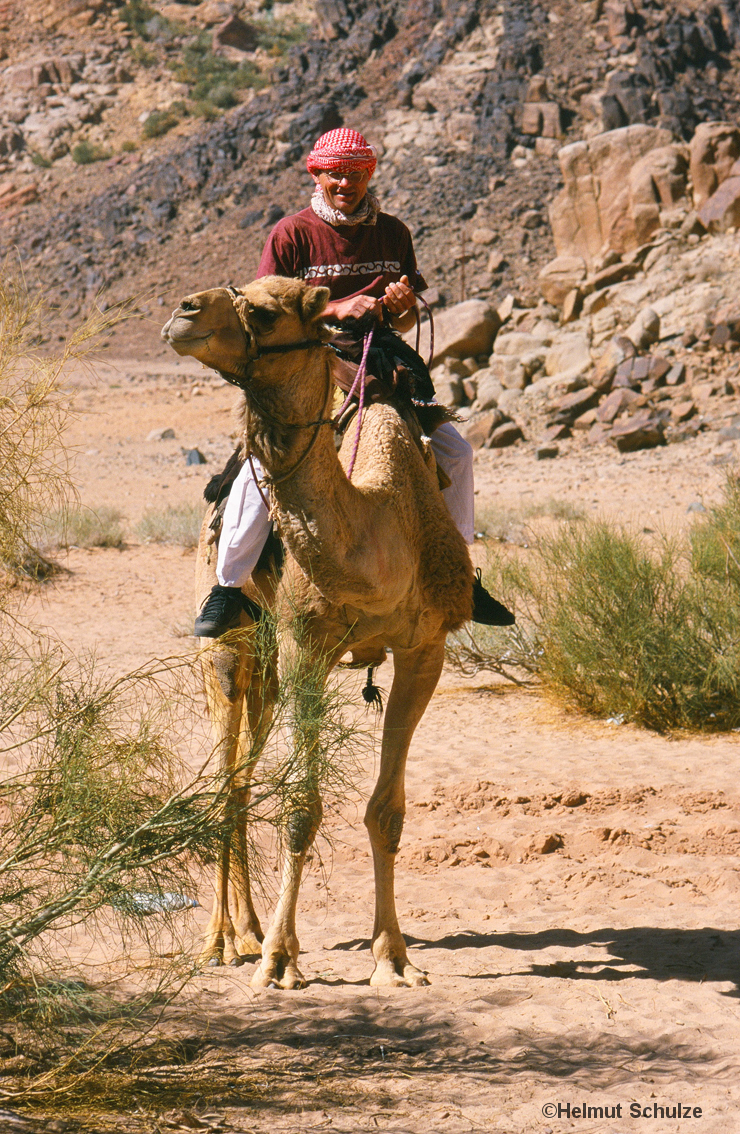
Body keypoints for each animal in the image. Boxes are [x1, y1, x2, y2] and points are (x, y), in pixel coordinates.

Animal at [162, 278, 473, 988]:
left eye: (263, 310)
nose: (183, 312)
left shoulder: (425, 649)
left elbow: (387, 811)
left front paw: (394, 958)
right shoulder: (308, 646)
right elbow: (301, 808)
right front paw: (279, 961)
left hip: (270, 669)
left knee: (244, 775)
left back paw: (246, 930)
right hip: (227, 648)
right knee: (226, 774)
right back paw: (224, 942)